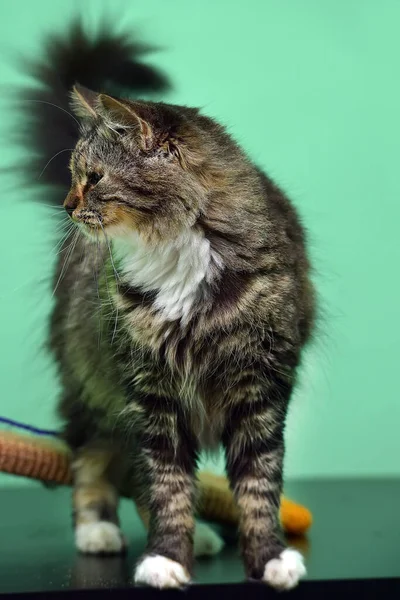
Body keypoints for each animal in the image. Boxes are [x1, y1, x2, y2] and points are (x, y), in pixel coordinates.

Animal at [20, 19, 316, 592]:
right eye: (73, 175)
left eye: (93, 177)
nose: (66, 206)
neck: (179, 256)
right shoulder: (152, 393)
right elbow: (167, 486)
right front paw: (165, 559)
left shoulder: (261, 389)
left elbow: (258, 487)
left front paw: (270, 559)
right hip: (95, 391)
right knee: (94, 462)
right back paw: (100, 531)